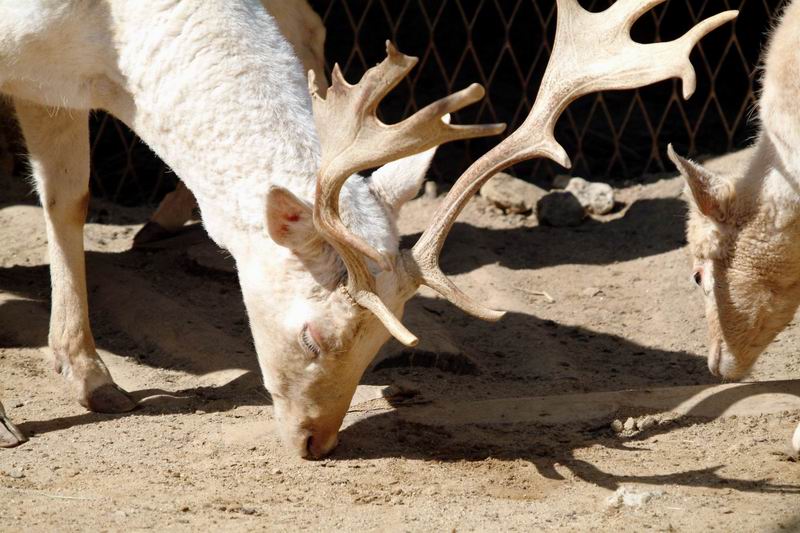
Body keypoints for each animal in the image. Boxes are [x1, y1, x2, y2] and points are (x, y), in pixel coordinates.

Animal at [1, 1, 736, 458]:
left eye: (389, 339)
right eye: (314, 335)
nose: (315, 443)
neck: (106, 36)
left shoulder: (54, 79)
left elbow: (68, 197)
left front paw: (92, 377)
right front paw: (12, 425)